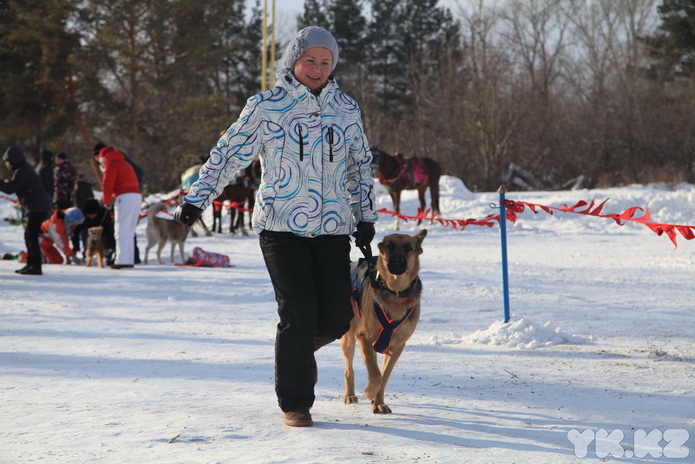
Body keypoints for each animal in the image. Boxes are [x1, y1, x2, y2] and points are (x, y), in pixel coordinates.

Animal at [340, 228, 426, 414]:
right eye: (389, 246)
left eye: (408, 248)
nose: (396, 260)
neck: (396, 292)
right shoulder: (363, 338)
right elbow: (376, 375)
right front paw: (369, 393)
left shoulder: (397, 346)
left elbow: (383, 376)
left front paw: (378, 402)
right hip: (349, 339)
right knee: (349, 369)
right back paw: (350, 395)